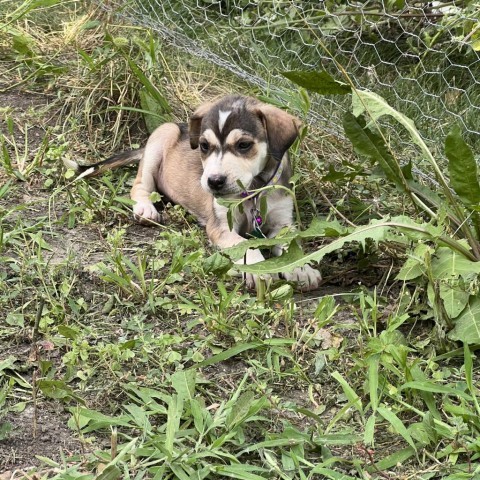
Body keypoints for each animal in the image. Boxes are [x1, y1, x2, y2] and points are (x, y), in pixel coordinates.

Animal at [68, 94, 322, 288]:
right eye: (204, 146)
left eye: (244, 145)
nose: (214, 182)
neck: (254, 190)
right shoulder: (221, 227)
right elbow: (244, 243)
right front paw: (257, 267)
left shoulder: (283, 223)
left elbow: (292, 244)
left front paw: (301, 267)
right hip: (162, 135)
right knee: (140, 185)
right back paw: (145, 208)